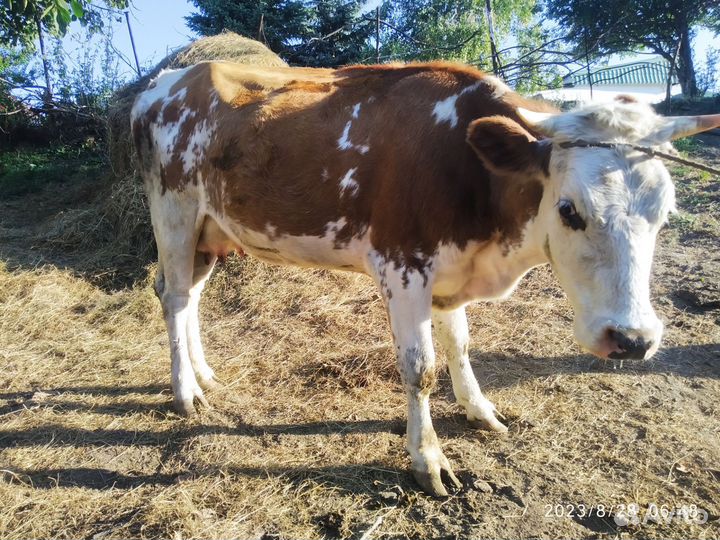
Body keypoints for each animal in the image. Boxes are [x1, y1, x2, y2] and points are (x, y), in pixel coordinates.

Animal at [131, 61, 720, 497]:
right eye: (570, 210)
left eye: (665, 212)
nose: (632, 339)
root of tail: (169, 79)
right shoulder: (403, 268)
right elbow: (420, 370)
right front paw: (428, 458)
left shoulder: (452, 272)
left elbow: (459, 345)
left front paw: (479, 409)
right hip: (174, 212)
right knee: (174, 298)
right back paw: (185, 391)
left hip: (210, 230)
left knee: (191, 296)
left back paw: (205, 375)